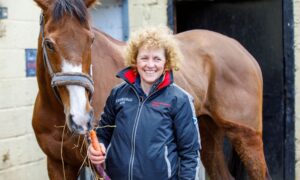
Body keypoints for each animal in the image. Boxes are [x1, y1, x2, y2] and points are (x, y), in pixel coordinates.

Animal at [32, 0, 270, 179]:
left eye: (90, 40)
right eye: (49, 43)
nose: (81, 118)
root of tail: (242, 51)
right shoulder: (59, 164)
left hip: (247, 137)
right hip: (206, 133)